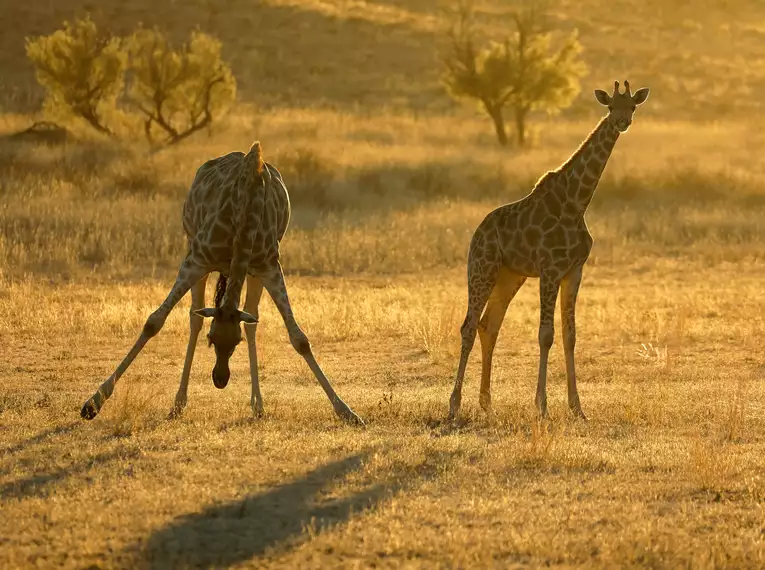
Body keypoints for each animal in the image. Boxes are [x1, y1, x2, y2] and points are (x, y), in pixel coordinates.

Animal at [80, 140, 364, 424]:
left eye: (235, 342)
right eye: (211, 338)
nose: (220, 379)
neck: (247, 206)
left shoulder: (269, 266)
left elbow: (299, 338)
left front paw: (347, 411)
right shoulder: (197, 258)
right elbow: (154, 322)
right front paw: (92, 403)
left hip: (252, 272)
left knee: (251, 318)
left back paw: (258, 406)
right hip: (192, 245)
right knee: (194, 317)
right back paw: (178, 404)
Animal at [448, 80, 652, 420]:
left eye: (633, 106)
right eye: (611, 106)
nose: (622, 122)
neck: (577, 202)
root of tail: (477, 232)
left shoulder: (574, 270)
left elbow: (570, 335)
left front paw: (577, 408)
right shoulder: (550, 269)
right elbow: (546, 335)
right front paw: (542, 406)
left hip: (509, 276)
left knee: (489, 325)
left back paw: (486, 402)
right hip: (482, 268)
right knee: (468, 326)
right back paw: (454, 405)